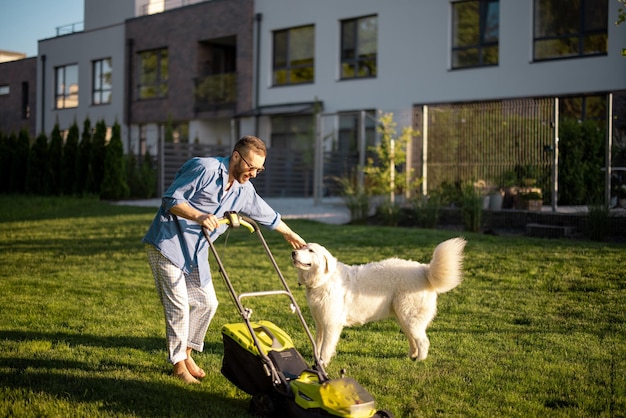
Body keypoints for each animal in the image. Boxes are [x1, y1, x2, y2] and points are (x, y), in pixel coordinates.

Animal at [292, 238, 464, 366]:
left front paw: (322, 363)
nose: (293, 252)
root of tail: (424, 270)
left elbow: (326, 347)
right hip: (403, 318)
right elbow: (318, 343)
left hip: (410, 318)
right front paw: (316, 360)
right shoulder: (320, 323)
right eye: (302, 247)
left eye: (311, 250)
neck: (323, 279)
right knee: (413, 340)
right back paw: (411, 356)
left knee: (423, 341)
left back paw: (419, 361)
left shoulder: (331, 324)